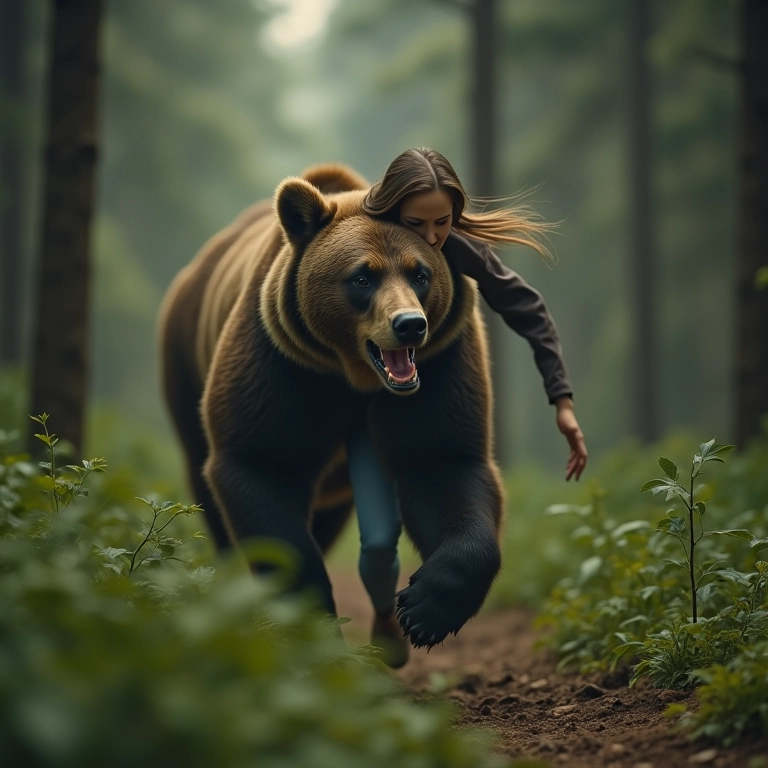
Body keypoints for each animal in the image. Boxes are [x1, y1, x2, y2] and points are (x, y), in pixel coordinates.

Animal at [158, 163, 504, 649]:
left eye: (420, 274)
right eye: (362, 277)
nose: (410, 325)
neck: (353, 376)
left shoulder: (441, 364)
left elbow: (444, 462)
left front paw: (424, 609)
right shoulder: (283, 364)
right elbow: (263, 464)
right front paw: (310, 622)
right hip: (185, 362)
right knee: (205, 483)